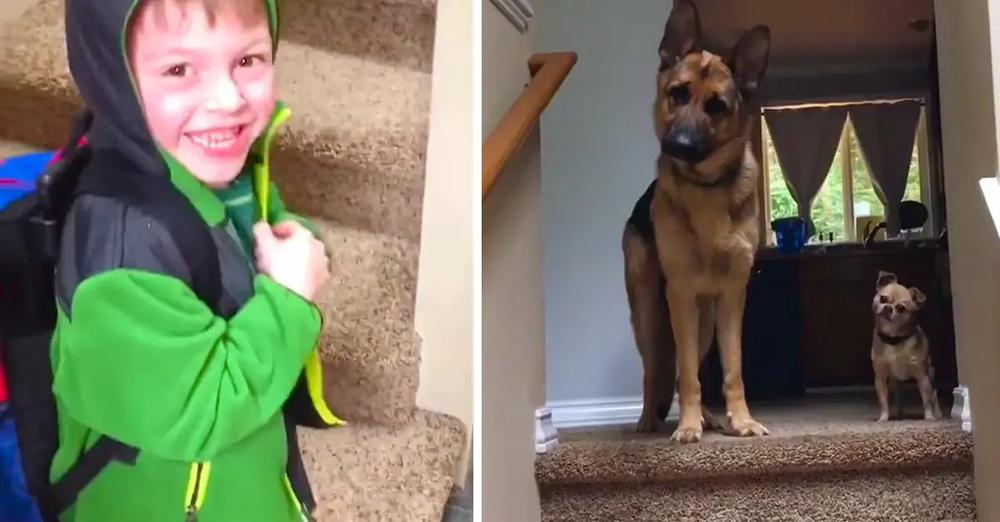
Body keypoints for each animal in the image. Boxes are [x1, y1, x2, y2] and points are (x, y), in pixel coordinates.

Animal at [624, 0, 772, 440]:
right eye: (678, 93)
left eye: (716, 106)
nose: (680, 145)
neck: (705, 187)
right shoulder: (681, 295)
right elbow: (687, 374)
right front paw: (688, 427)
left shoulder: (733, 297)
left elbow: (732, 371)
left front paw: (741, 420)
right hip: (651, 313)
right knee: (656, 370)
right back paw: (648, 421)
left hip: (704, 321)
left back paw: (710, 417)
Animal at [872, 270, 940, 420]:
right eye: (883, 298)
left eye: (901, 308)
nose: (888, 307)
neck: (894, 339)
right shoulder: (881, 377)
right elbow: (883, 401)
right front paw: (883, 418)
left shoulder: (922, 377)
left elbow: (926, 400)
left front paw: (929, 418)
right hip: (894, 383)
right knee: (898, 398)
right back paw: (899, 415)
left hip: (931, 375)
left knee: (934, 395)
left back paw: (938, 414)